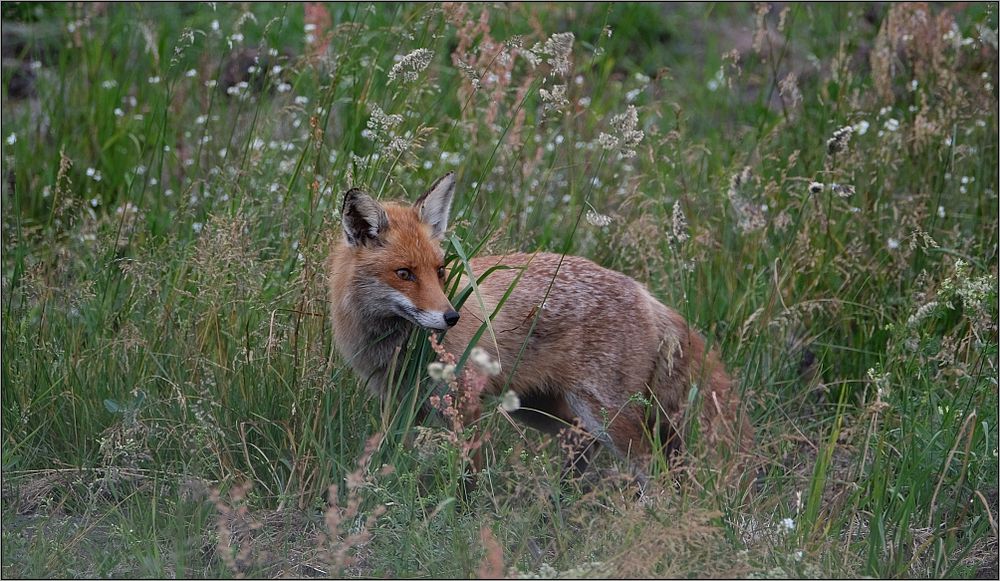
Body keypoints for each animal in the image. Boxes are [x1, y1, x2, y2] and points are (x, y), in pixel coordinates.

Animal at [324, 171, 752, 480]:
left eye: (440, 271)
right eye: (404, 273)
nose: (451, 317)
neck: (400, 347)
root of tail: (646, 294)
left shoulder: (467, 405)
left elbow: (468, 476)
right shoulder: (401, 408)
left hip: (604, 414)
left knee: (653, 466)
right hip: (545, 410)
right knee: (583, 444)